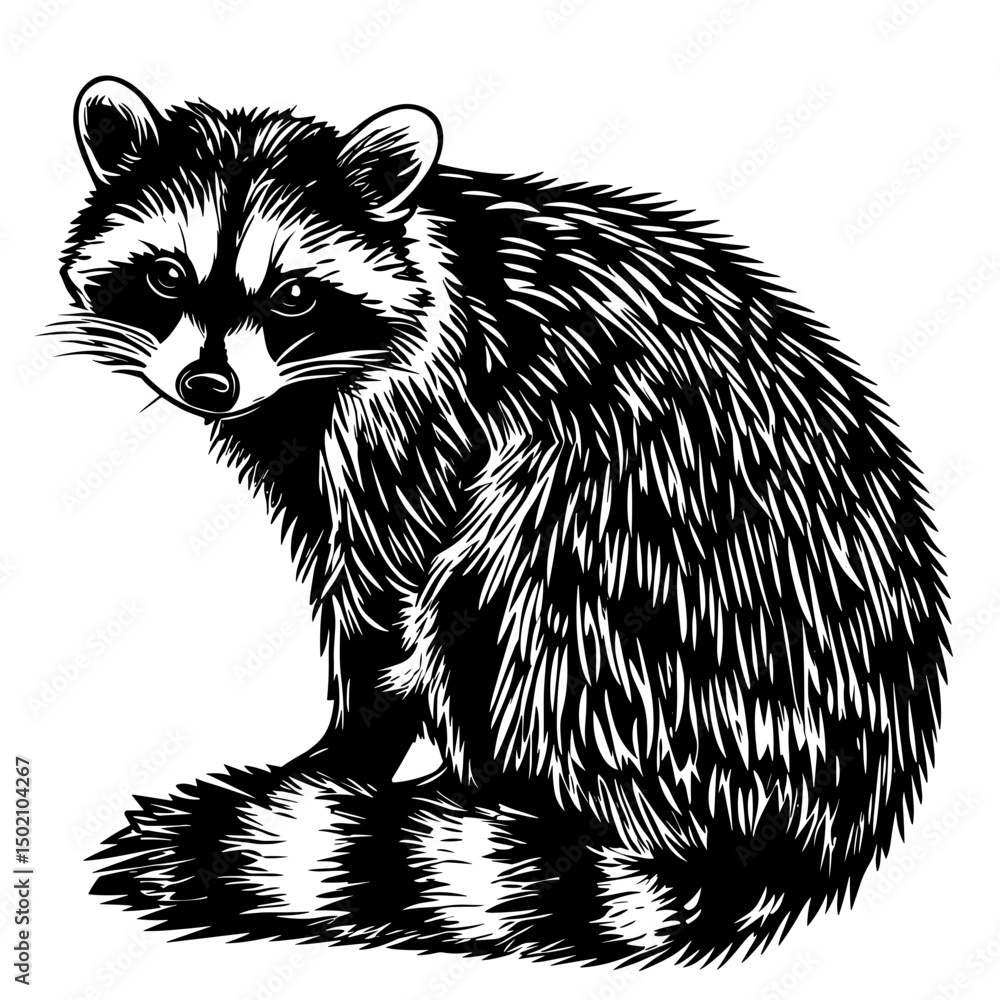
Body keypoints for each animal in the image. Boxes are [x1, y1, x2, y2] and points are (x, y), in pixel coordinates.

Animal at [57, 77, 948, 963]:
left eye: (295, 294)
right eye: (166, 275)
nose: (207, 384)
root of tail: (814, 825)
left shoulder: (422, 414)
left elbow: (386, 601)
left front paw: (343, 757)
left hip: (635, 601)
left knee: (490, 585)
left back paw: (496, 804)